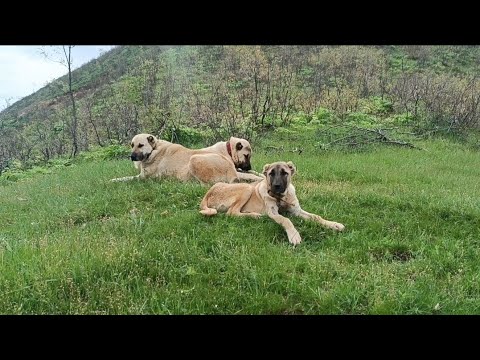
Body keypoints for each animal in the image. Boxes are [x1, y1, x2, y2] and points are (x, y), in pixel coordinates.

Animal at [111, 134, 264, 184]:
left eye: (140, 145)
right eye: (132, 145)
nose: (131, 157)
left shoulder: (143, 178)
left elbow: (125, 178)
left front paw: (112, 180)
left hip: (194, 159)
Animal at [199, 161, 344, 243]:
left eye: (285, 173)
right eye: (271, 174)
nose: (276, 186)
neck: (281, 197)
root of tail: (209, 191)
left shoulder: (296, 210)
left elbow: (316, 216)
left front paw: (334, 224)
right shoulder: (273, 213)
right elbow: (286, 220)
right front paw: (294, 235)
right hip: (246, 188)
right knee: (231, 212)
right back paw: (254, 216)